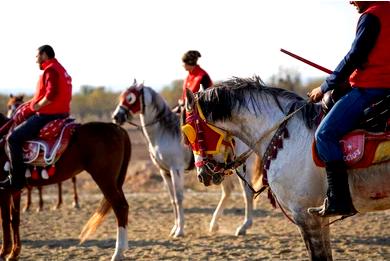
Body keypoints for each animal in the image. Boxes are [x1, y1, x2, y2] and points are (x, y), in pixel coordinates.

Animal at [0, 114, 133, 260]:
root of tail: (117, 128)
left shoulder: (6, 190)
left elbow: (7, 220)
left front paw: (7, 253)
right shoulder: (11, 191)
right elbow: (11, 220)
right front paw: (11, 253)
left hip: (105, 180)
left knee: (120, 207)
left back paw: (118, 253)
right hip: (115, 182)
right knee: (124, 206)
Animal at [111, 81, 260, 236]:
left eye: (130, 98)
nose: (116, 117)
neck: (163, 132)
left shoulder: (176, 169)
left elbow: (179, 198)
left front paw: (180, 230)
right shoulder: (164, 172)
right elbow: (172, 199)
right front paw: (175, 228)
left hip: (240, 166)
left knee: (247, 191)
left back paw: (244, 226)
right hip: (219, 168)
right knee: (228, 190)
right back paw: (214, 225)